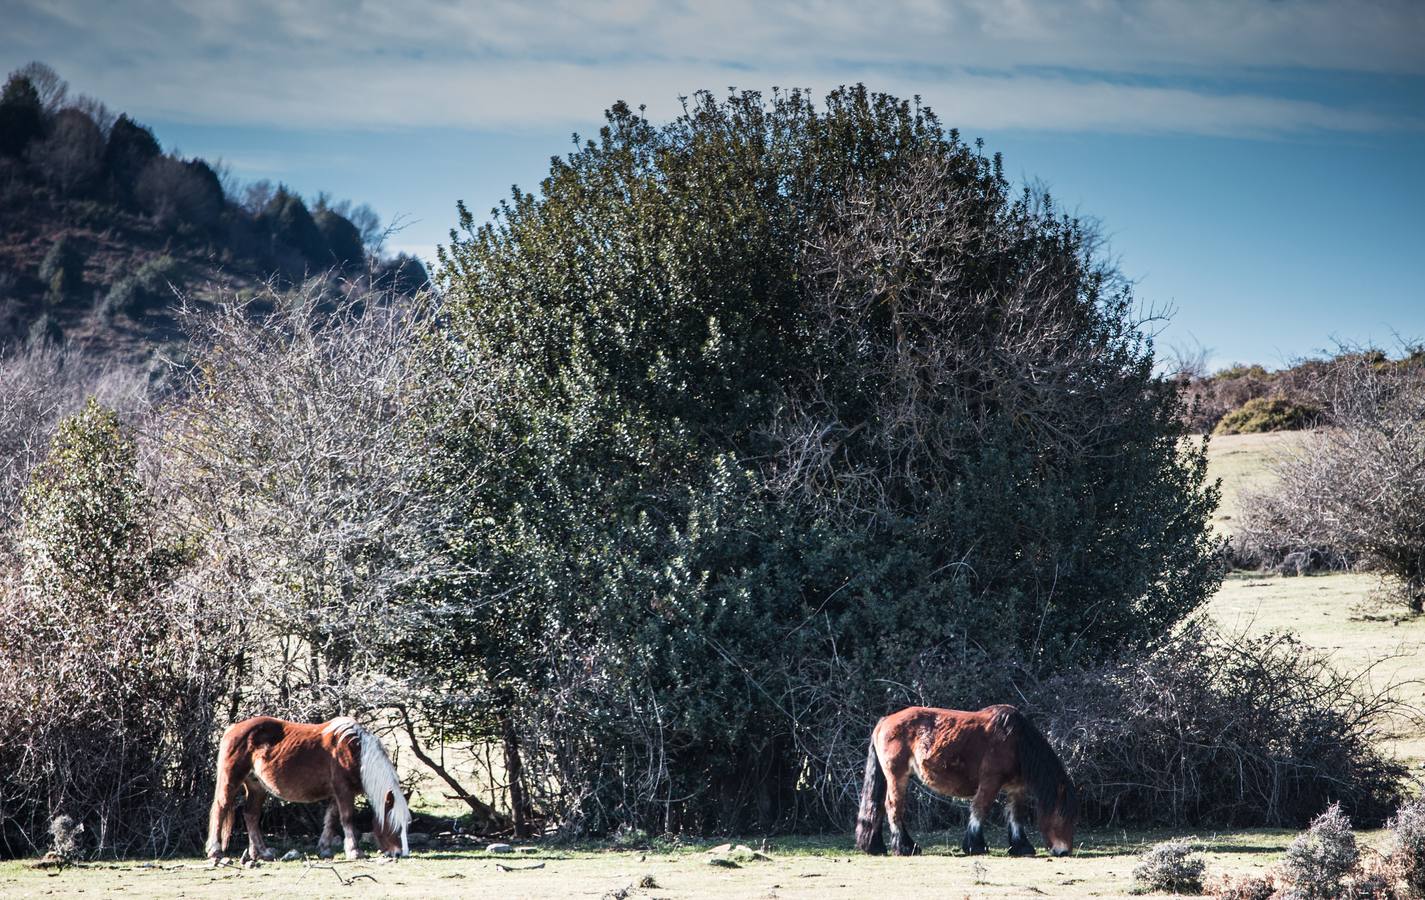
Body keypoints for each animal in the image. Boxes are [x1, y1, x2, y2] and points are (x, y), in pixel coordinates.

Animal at [203, 714, 413, 860]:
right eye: (394, 825)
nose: (402, 853)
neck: (356, 751)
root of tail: (233, 728)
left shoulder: (337, 793)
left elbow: (331, 819)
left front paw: (325, 848)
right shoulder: (344, 790)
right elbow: (347, 818)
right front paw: (354, 851)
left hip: (256, 786)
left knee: (251, 815)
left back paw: (261, 853)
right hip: (231, 779)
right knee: (221, 808)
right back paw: (215, 851)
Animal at [849, 703, 1071, 860]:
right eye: (1062, 815)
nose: (1064, 851)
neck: (1015, 740)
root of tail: (885, 720)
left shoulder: (1016, 788)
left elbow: (1016, 815)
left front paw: (1021, 846)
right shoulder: (990, 782)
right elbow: (980, 809)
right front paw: (976, 845)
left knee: (878, 807)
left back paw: (877, 846)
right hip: (897, 776)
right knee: (893, 807)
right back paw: (905, 847)